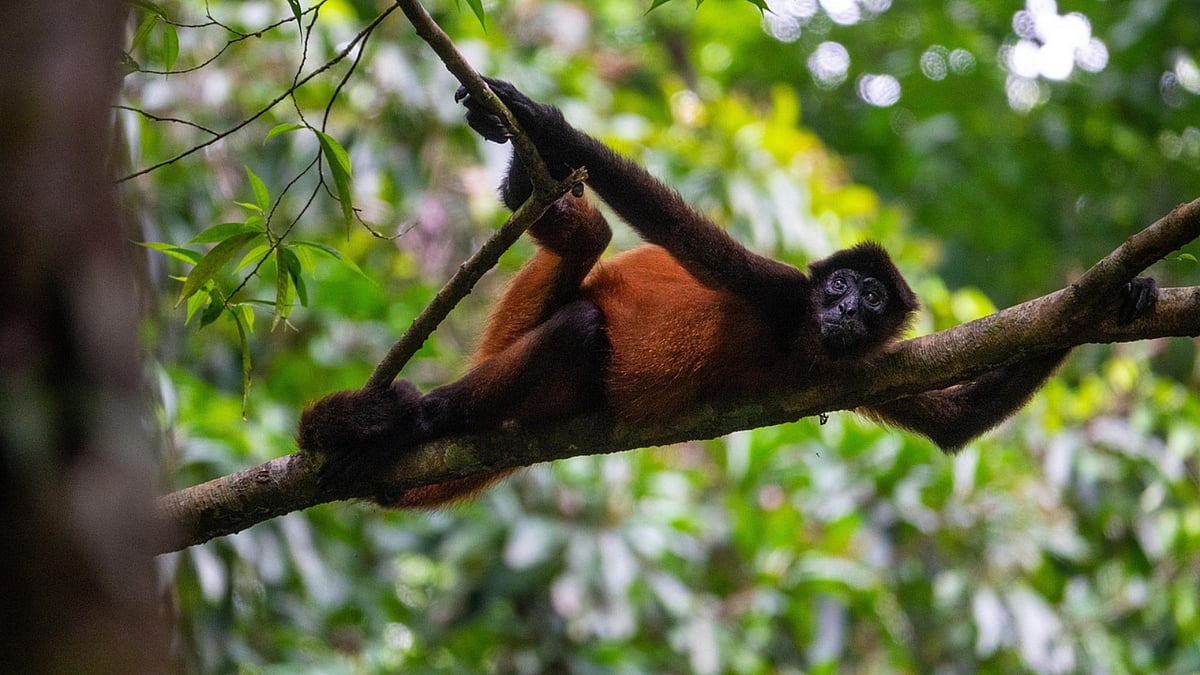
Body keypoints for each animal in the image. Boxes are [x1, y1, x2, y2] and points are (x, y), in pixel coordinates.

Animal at [297, 79, 1159, 507]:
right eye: (838, 286)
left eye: (873, 303)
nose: (846, 309)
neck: (801, 336)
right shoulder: (778, 290)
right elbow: (678, 230)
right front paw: (539, 115)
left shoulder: (862, 363)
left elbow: (955, 422)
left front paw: (1122, 297)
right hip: (513, 321)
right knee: (583, 298)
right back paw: (419, 418)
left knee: (586, 269)